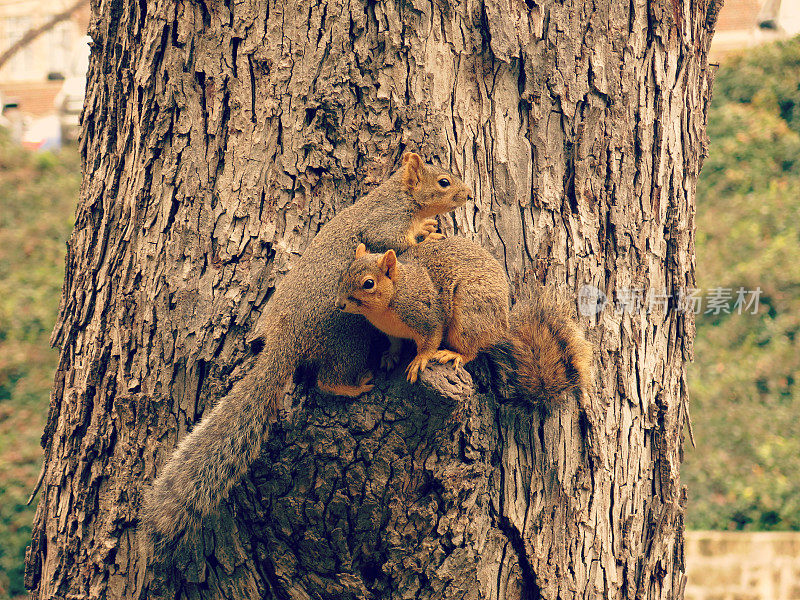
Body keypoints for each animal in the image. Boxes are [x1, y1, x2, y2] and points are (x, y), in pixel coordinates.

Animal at [141, 152, 472, 552]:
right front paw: (425, 229)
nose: (469, 194)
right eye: (443, 181)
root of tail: (286, 340)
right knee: (327, 380)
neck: (399, 195)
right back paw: (353, 386)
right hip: (348, 337)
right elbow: (391, 239)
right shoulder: (383, 224)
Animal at [334, 236, 592, 404]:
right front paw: (390, 355)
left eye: (369, 283)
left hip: (468, 316)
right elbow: (395, 342)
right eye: (343, 273)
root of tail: (502, 326)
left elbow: (430, 340)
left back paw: (453, 354)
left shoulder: (427, 316)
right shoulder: (391, 331)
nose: (339, 304)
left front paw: (419, 360)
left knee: (471, 350)